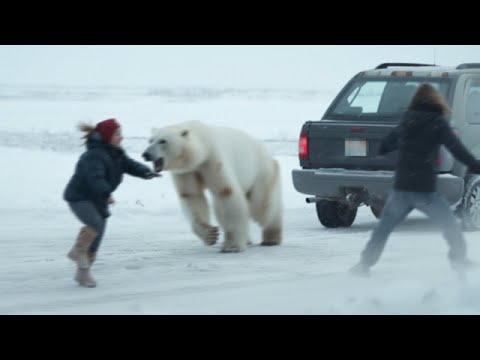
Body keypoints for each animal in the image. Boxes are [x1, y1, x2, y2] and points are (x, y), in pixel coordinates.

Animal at [142, 121, 282, 253]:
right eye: (150, 140)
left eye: (162, 141)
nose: (146, 154)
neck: (203, 147)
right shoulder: (187, 171)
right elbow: (192, 196)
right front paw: (210, 235)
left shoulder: (213, 160)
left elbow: (226, 192)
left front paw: (231, 247)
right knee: (221, 209)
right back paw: (247, 240)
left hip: (260, 172)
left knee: (262, 207)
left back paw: (272, 238)